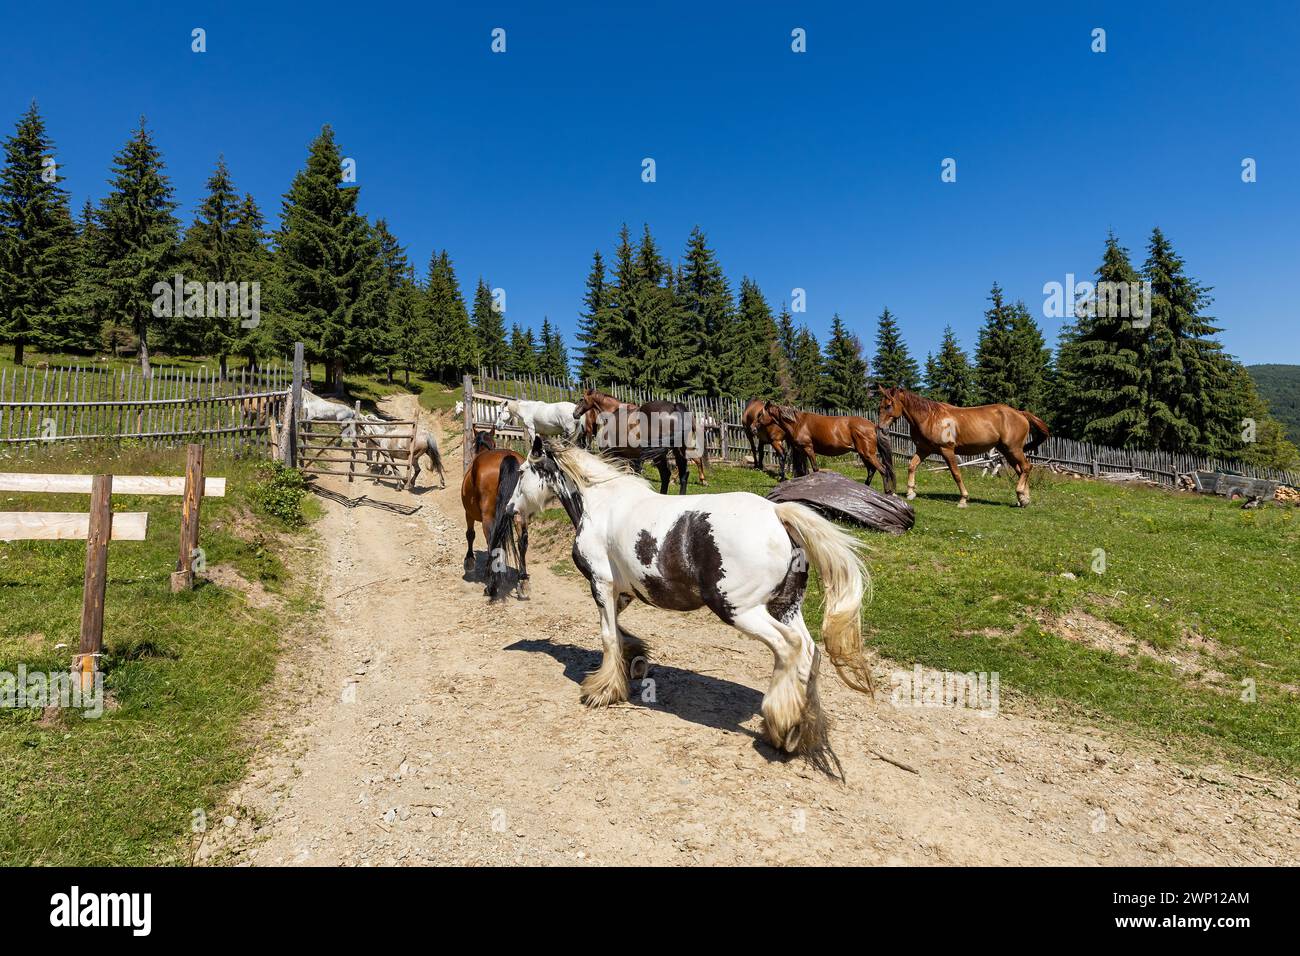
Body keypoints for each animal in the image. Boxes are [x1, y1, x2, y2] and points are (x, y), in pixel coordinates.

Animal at [462, 429, 530, 600]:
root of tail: (509, 458)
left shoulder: (468, 513)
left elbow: (470, 534)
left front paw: (470, 560)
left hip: (488, 516)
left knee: (492, 540)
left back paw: (491, 586)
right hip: (521, 513)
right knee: (523, 541)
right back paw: (523, 581)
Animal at [491, 438, 875, 771]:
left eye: (523, 471)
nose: (510, 508)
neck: (600, 503)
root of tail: (778, 514)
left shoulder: (600, 583)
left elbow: (608, 635)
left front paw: (603, 690)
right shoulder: (624, 590)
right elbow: (619, 629)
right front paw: (636, 658)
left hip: (740, 610)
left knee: (789, 647)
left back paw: (782, 726)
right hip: (786, 606)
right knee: (810, 651)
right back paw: (799, 728)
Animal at [763, 402, 896, 494]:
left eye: (760, 414)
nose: (756, 428)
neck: (798, 423)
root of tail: (873, 426)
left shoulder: (808, 449)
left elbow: (815, 469)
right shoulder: (802, 451)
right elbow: (804, 472)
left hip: (868, 454)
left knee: (883, 470)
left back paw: (887, 491)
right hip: (864, 455)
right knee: (871, 470)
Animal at [874, 385, 1049, 508]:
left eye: (889, 405)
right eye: (879, 406)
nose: (880, 428)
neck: (930, 417)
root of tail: (1020, 413)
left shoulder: (947, 450)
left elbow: (956, 474)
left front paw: (963, 500)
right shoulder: (924, 450)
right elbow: (911, 466)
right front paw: (911, 492)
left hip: (1014, 449)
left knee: (1026, 467)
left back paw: (1021, 496)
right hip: (1008, 451)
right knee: (1021, 470)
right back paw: (1023, 500)